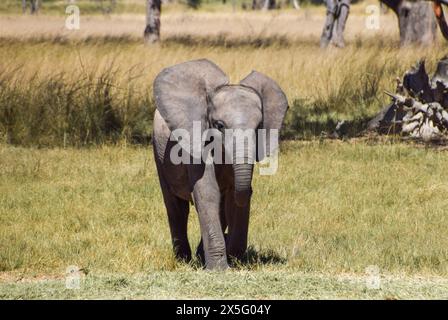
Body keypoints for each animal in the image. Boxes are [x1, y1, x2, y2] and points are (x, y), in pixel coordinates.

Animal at [152, 58, 288, 268]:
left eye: (259, 127)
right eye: (219, 126)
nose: (235, 257)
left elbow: (233, 195)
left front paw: (235, 262)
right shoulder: (196, 139)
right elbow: (207, 192)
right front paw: (219, 269)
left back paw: (201, 256)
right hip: (159, 153)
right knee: (176, 207)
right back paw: (184, 260)